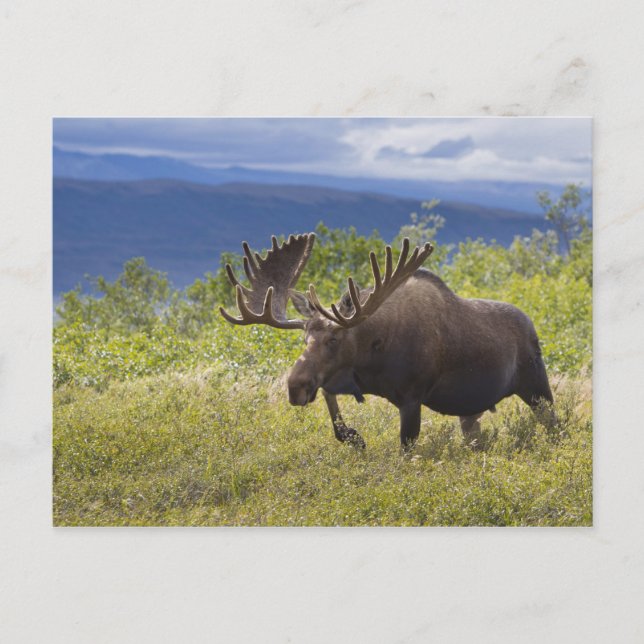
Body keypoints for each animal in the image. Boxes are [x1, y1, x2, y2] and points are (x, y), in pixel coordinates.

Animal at [220, 233, 555, 450]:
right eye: (305, 339)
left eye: (334, 339)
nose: (295, 387)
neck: (373, 355)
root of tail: (533, 327)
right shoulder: (344, 378)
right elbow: (333, 408)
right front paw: (353, 437)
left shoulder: (412, 397)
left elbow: (406, 447)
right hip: (470, 411)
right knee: (474, 436)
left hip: (537, 388)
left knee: (555, 426)